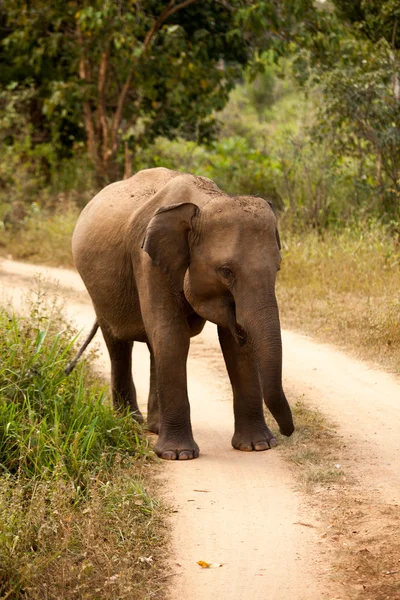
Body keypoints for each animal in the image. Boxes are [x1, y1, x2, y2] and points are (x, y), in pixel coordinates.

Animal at [69, 166, 294, 462]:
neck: (204, 202)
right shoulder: (148, 261)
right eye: (226, 271)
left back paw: (154, 426)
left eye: (278, 269)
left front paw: (257, 446)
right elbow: (172, 337)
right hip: (98, 289)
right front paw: (178, 455)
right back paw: (129, 420)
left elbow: (235, 346)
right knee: (119, 343)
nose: (288, 432)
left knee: (152, 346)